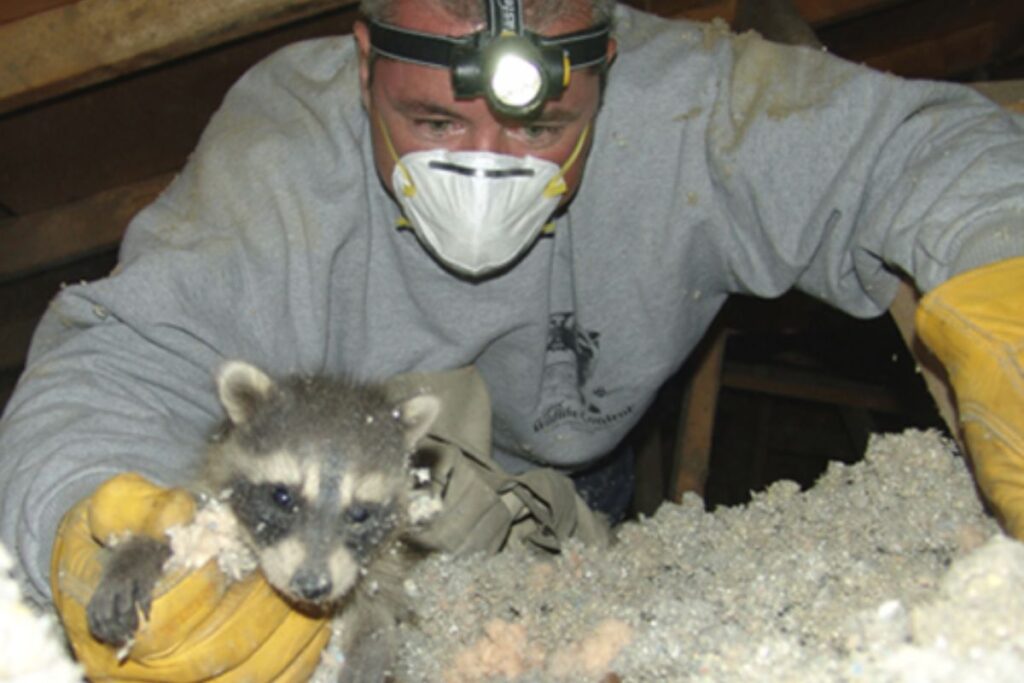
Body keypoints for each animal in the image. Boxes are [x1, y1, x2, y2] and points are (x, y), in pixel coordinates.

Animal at [86, 360, 438, 679]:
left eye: (360, 514)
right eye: (282, 497)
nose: (312, 586)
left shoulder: (382, 561)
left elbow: (379, 612)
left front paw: (370, 653)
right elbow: (187, 527)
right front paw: (139, 553)